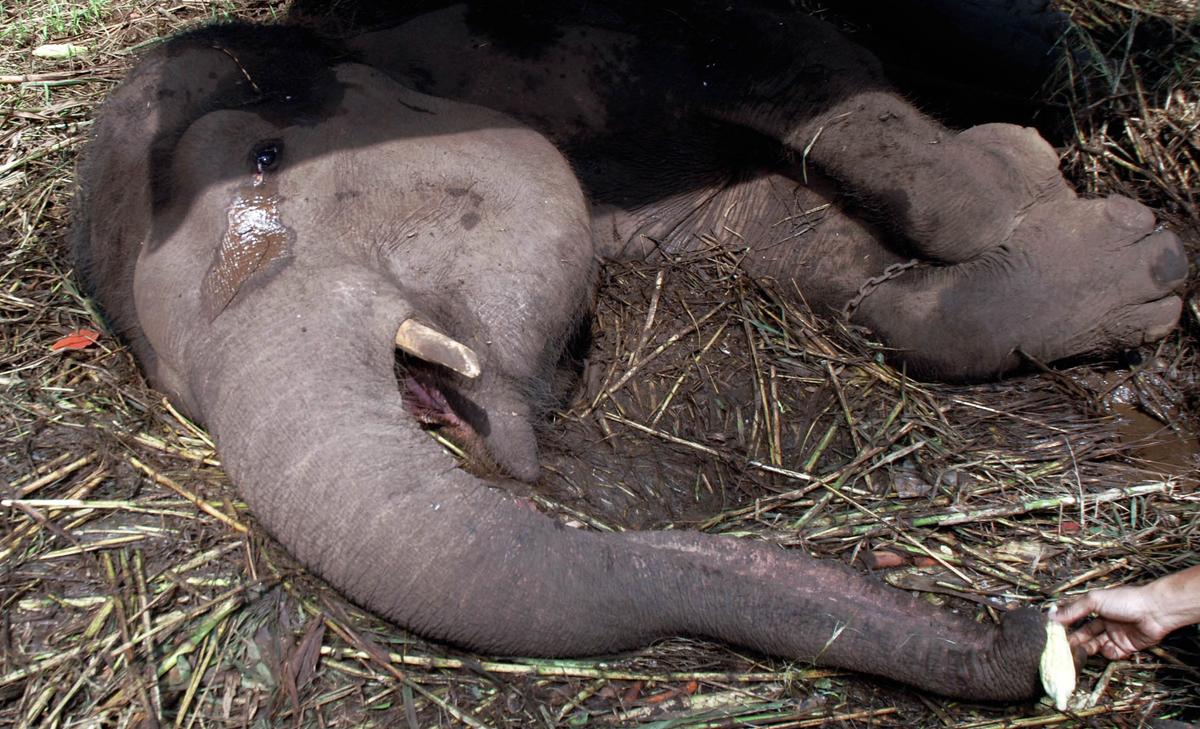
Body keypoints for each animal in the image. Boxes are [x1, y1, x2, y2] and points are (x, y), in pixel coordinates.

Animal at [71, 4, 1184, 703]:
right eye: (174, 383)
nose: (1023, 626)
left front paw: (1097, 222)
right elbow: (789, 239)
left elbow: (808, 82)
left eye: (264, 157)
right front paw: (1127, 265)